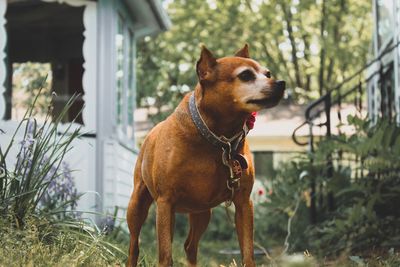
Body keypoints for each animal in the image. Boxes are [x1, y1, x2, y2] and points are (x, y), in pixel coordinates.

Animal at [126, 45, 286, 266]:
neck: (218, 141)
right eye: (245, 75)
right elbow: (165, 255)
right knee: (134, 244)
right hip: (138, 205)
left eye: (268, 74)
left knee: (190, 246)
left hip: (202, 212)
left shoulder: (244, 204)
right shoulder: (165, 202)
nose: (281, 83)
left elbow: (248, 252)